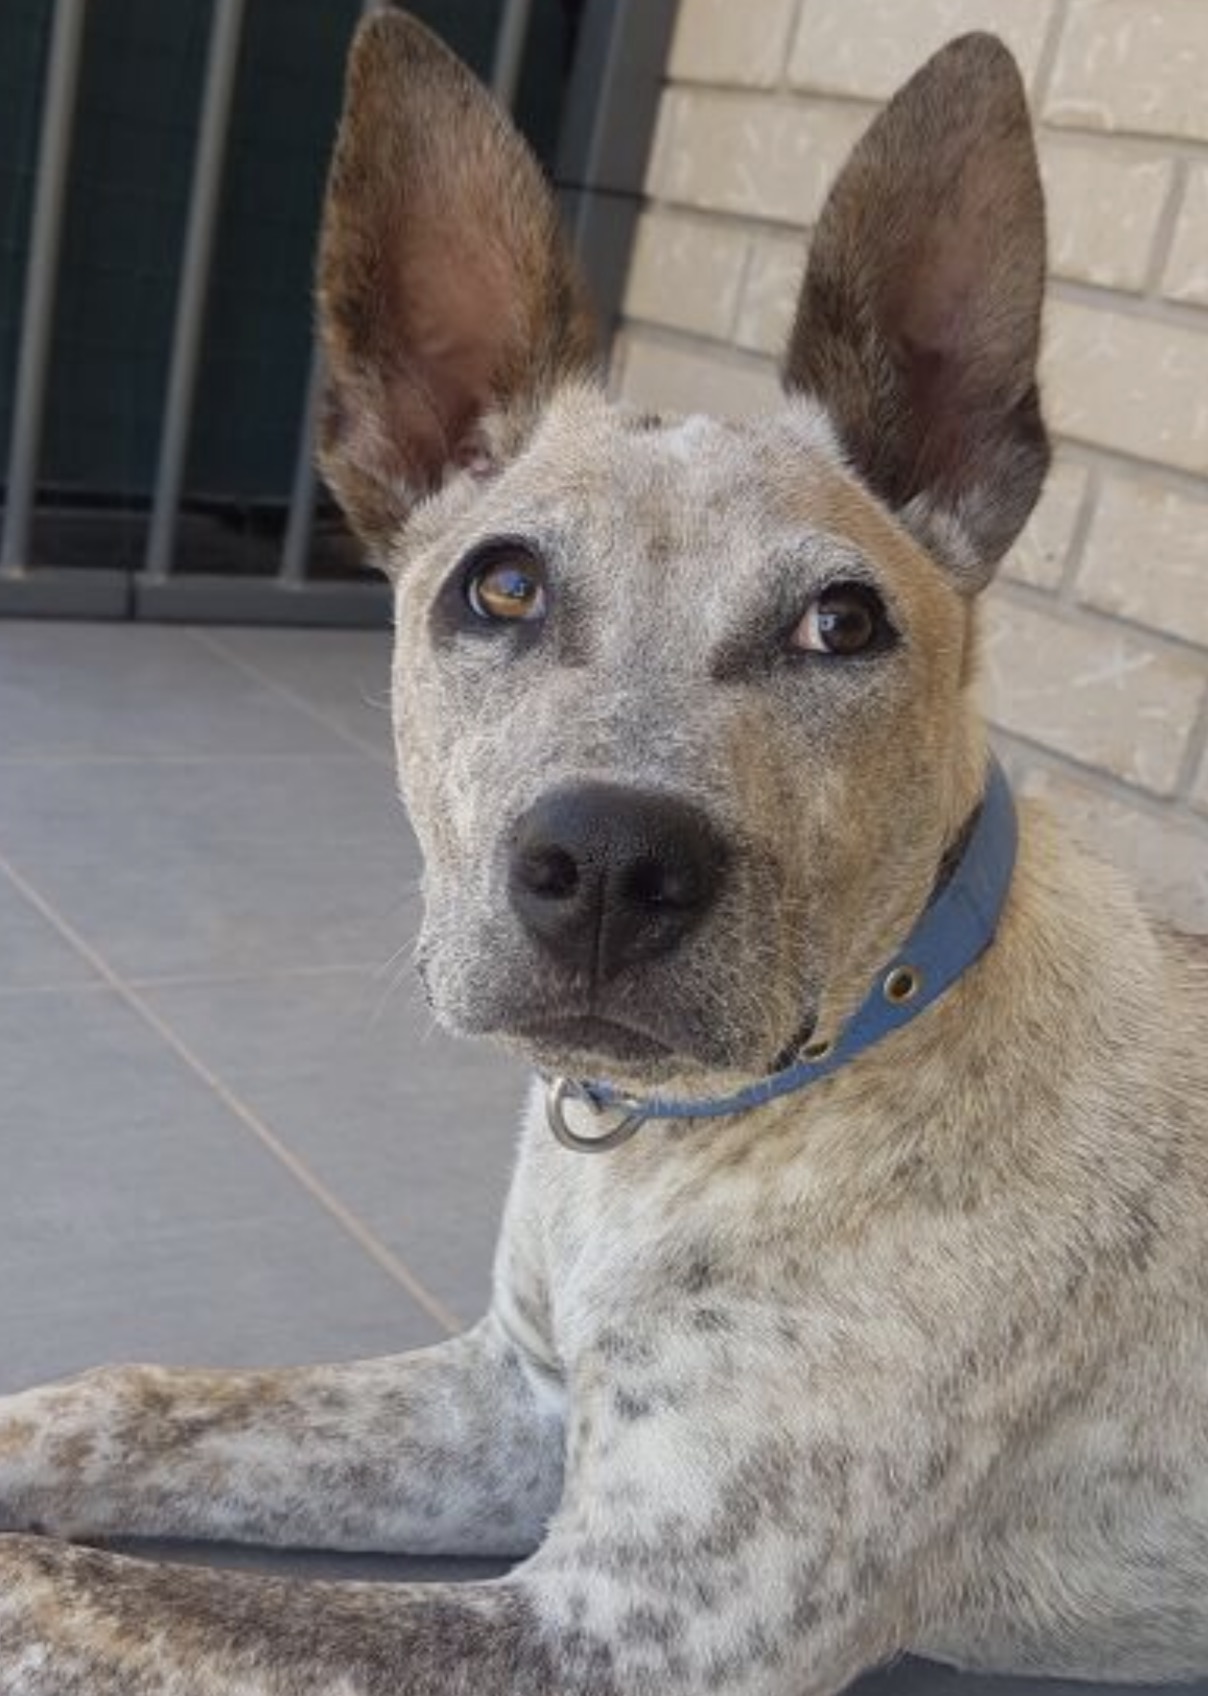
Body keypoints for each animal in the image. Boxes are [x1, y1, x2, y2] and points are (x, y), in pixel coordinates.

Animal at [0, 13, 1205, 1695]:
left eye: (844, 622)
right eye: (500, 588)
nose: (613, 866)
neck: (685, 1137)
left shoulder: (632, 1631)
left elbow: (76, 1594)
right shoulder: (511, 1399)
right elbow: (129, 1404)